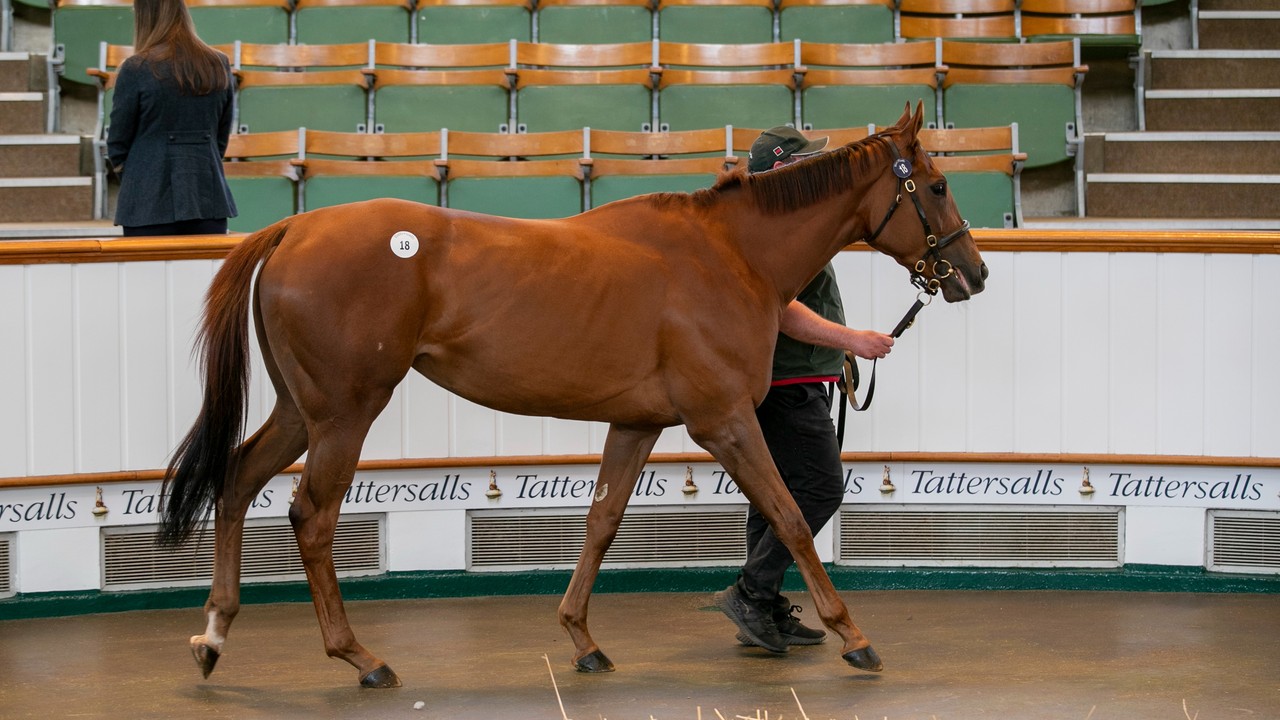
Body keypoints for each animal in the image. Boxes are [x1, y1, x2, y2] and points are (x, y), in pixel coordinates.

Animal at [157, 103, 977, 686]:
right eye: (937, 186)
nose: (975, 272)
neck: (728, 254)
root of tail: (293, 230)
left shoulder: (637, 423)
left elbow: (601, 523)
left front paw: (583, 639)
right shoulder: (724, 422)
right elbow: (791, 518)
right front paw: (854, 637)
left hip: (300, 411)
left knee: (236, 479)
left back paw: (213, 634)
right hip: (345, 413)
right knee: (312, 517)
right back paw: (360, 658)